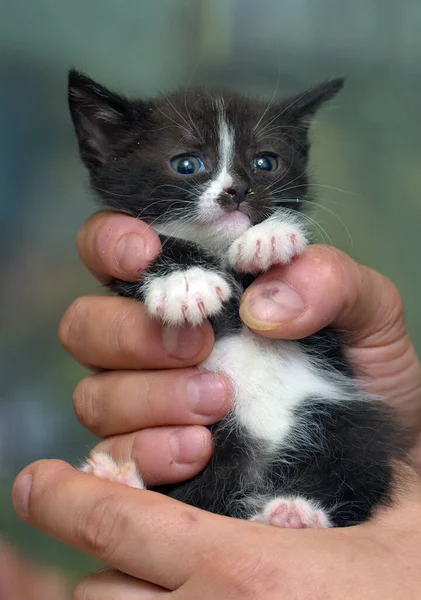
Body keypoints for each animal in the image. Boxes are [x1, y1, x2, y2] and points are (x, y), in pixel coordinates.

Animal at [70, 70, 406, 528]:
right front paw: (186, 282)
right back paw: (122, 481)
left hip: (346, 421)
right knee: (198, 496)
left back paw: (295, 513)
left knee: (352, 464)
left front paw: (269, 237)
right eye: (187, 164)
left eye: (265, 163)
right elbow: (151, 249)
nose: (238, 190)